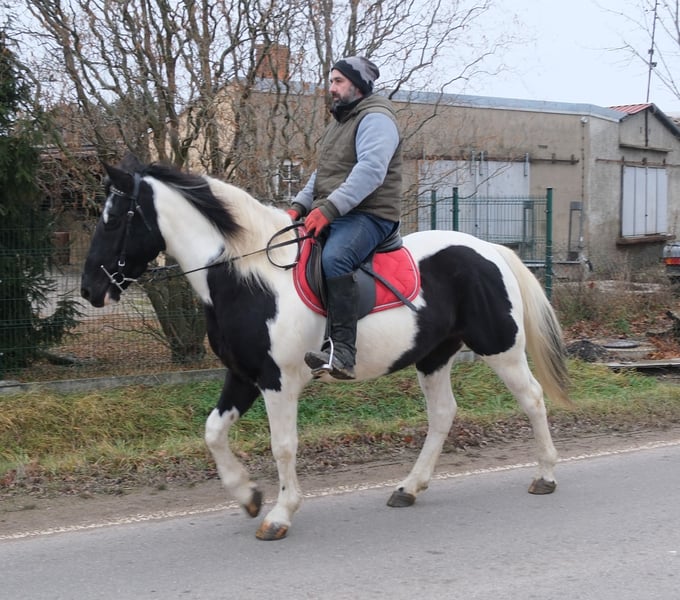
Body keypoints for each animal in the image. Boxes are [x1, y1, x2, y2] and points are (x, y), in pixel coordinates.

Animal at [80, 158, 570, 541]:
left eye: (112, 218)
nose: (89, 290)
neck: (250, 277)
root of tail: (489, 249)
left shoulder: (277, 382)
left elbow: (282, 446)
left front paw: (279, 514)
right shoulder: (242, 375)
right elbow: (213, 432)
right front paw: (248, 496)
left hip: (500, 348)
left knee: (532, 399)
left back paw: (546, 475)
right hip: (433, 357)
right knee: (443, 414)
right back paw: (408, 488)